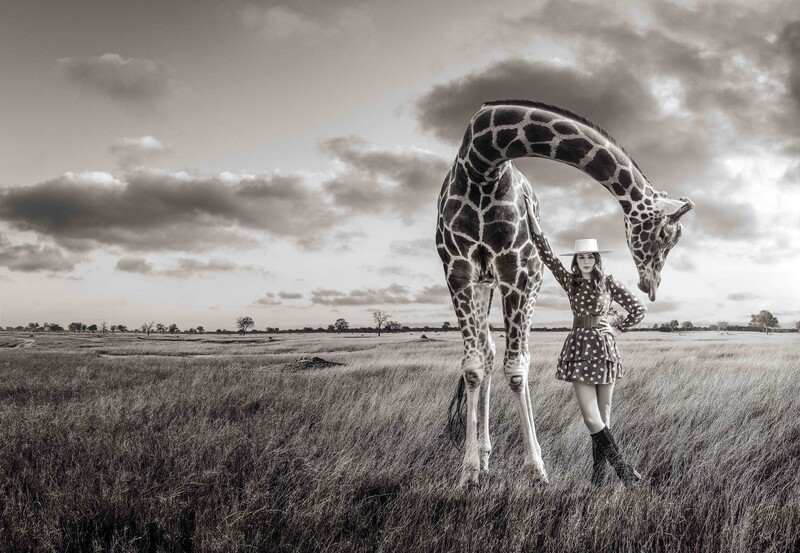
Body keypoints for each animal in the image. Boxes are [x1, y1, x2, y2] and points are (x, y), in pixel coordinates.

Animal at [436, 100, 693, 487]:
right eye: (667, 234)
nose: (651, 286)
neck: (483, 162)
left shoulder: (518, 271)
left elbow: (516, 368)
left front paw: (536, 469)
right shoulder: (459, 271)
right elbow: (473, 368)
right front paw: (468, 473)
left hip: (515, 279)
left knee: (501, 354)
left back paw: (490, 454)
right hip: (485, 283)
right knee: (488, 353)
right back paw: (482, 457)